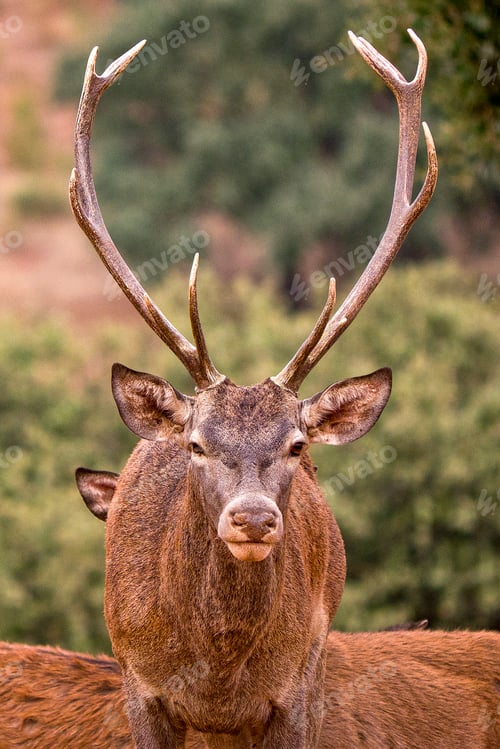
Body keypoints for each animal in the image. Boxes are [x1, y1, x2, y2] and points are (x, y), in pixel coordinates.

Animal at [69, 28, 437, 749]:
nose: (254, 518)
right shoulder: (139, 686)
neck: (215, 677)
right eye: (196, 444)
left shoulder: (296, 690)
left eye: (296, 445)